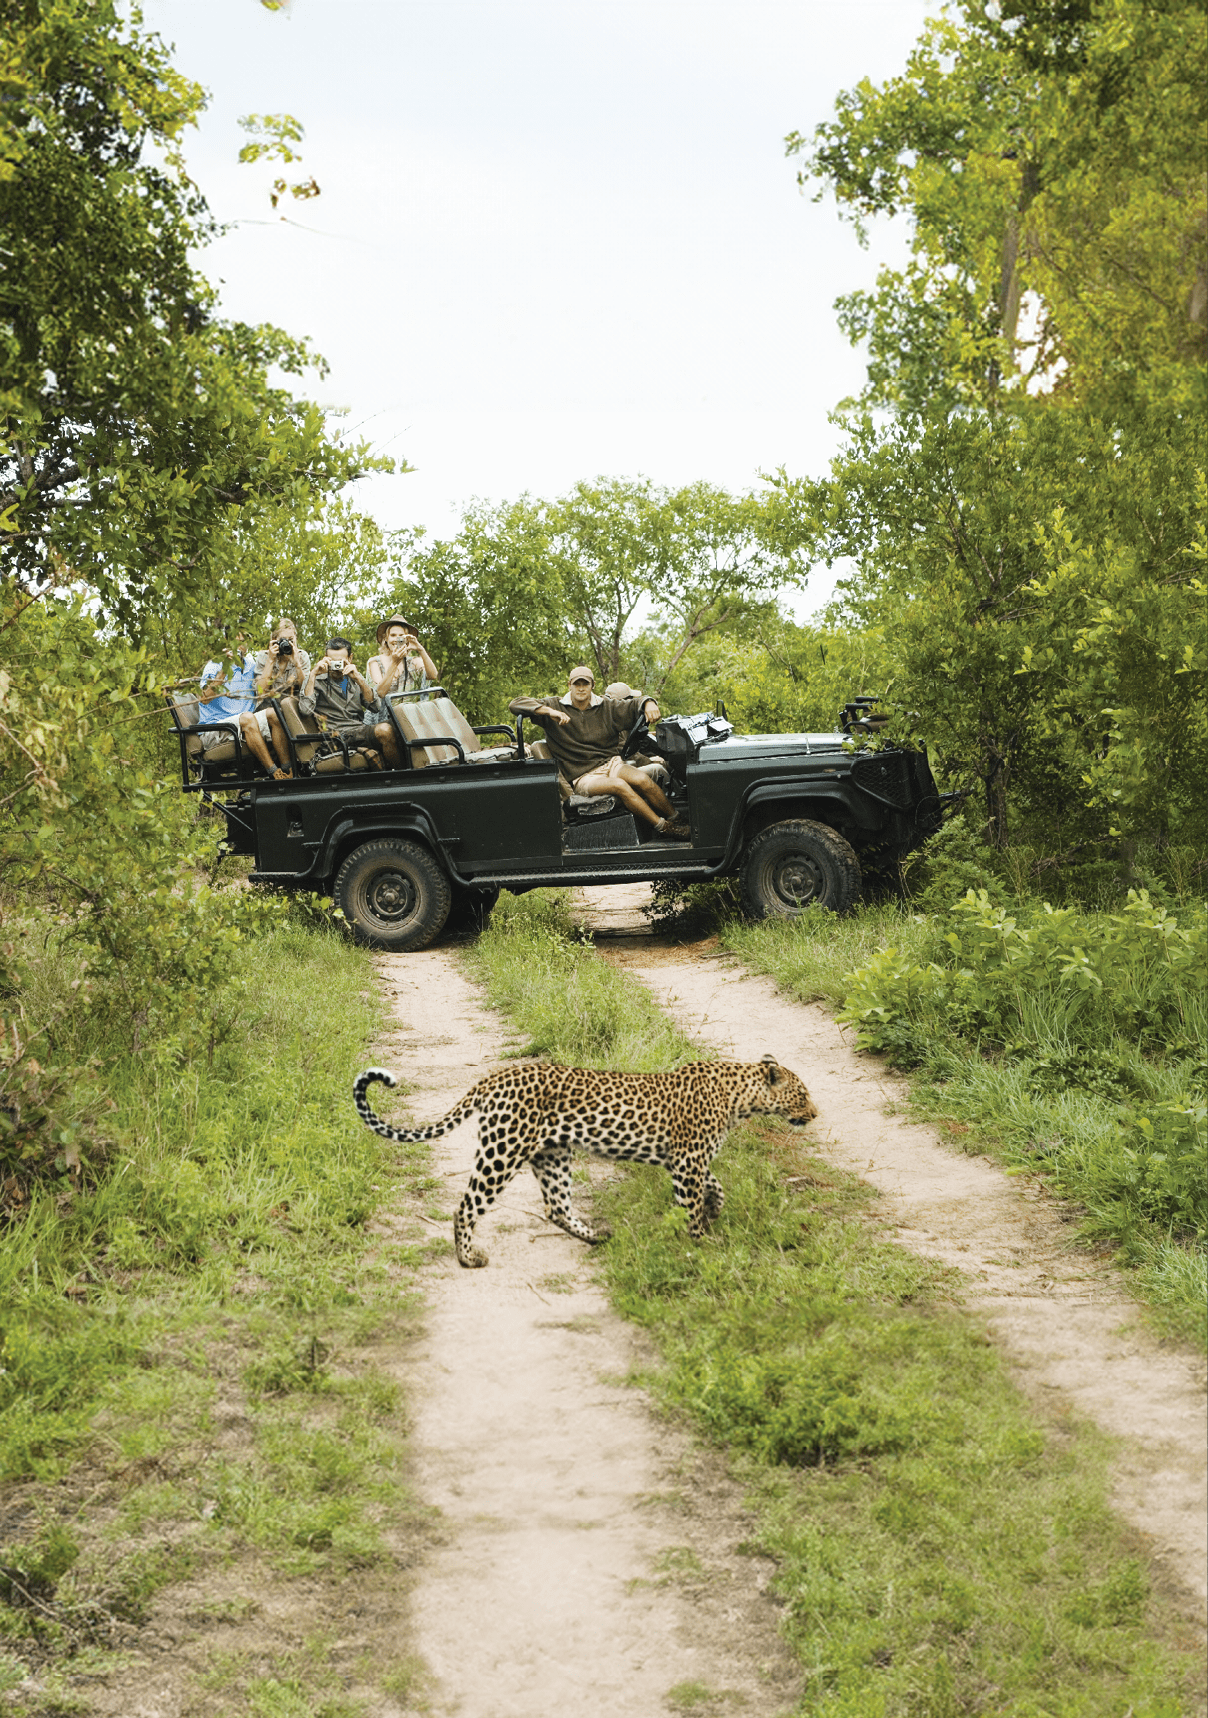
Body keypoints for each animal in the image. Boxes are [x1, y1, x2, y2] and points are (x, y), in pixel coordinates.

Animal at [353, 1056, 818, 1268]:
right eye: (803, 1094)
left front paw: (716, 1208)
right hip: (503, 1150)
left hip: (552, 1154)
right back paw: (469, 1258)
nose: (815, 1114)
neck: (740, 1098)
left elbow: (715, 1183)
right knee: (466, 1206)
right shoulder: (687, 1162)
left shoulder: (687, 1161)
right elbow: (693, 1205)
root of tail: (492, 1078)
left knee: (556, 1206)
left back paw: (596, 1236)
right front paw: (704, 1244)